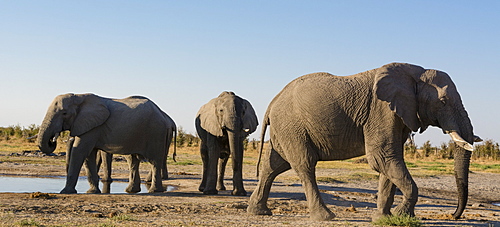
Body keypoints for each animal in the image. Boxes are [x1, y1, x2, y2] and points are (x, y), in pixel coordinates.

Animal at [36, 92, 176, 193]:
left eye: (64, 113)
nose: (52, 140)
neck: (79, 96)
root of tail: (162, 114)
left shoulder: (94, 127)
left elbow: (80, 151)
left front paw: (65, 192)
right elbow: (89, 155)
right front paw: (93, 192)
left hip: (156, 131)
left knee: (155, 160)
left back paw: (154, 191)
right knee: (133, 160)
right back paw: (131, 190)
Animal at [248, 63, 482, 221]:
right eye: (442, 101)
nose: (454, 216)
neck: (415, 72)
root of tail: (272, 103)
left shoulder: (396, 115)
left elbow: (389, 161)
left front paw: (383, 218)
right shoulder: (381, 110)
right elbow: (381, 158)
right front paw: (401, 216)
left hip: (286, 129)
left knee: (274, 166)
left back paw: (259, 212)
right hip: (293, 127)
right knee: (305, 165)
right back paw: (325, 216)